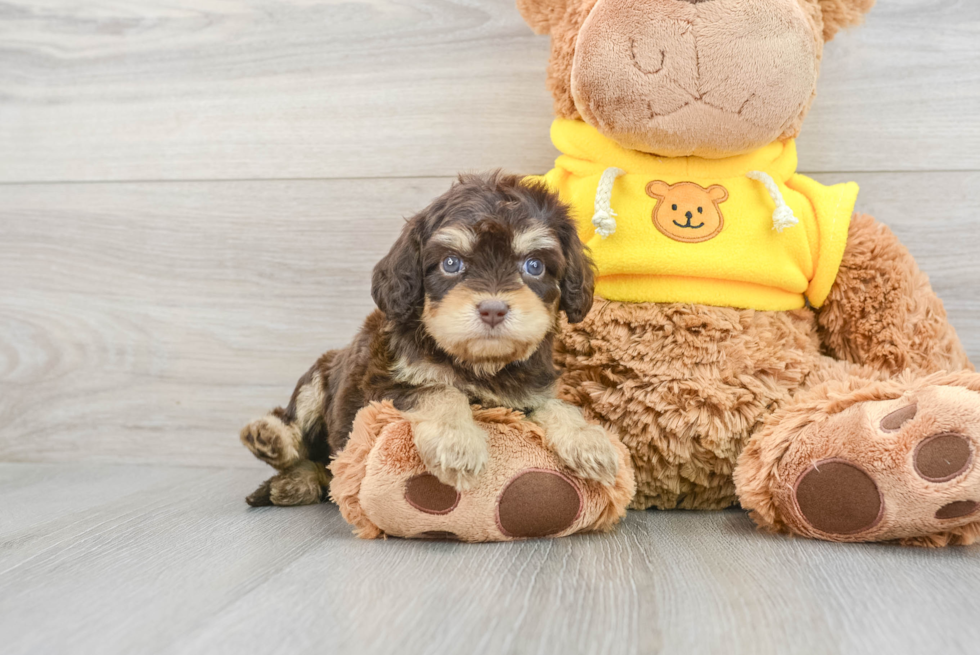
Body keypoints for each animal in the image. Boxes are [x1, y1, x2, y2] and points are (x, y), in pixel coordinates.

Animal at [240, 173, 616, 508]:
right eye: (451, 263)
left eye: (534, 265)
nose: (493, 310)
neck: (480, 365)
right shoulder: (380, 389)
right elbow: (441, 390)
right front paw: (457, 442)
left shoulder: (528, 393)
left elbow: (557, 404)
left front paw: (588, 439)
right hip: (320, 375)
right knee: (298, 428)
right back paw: (272, 442)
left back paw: (297, 483)